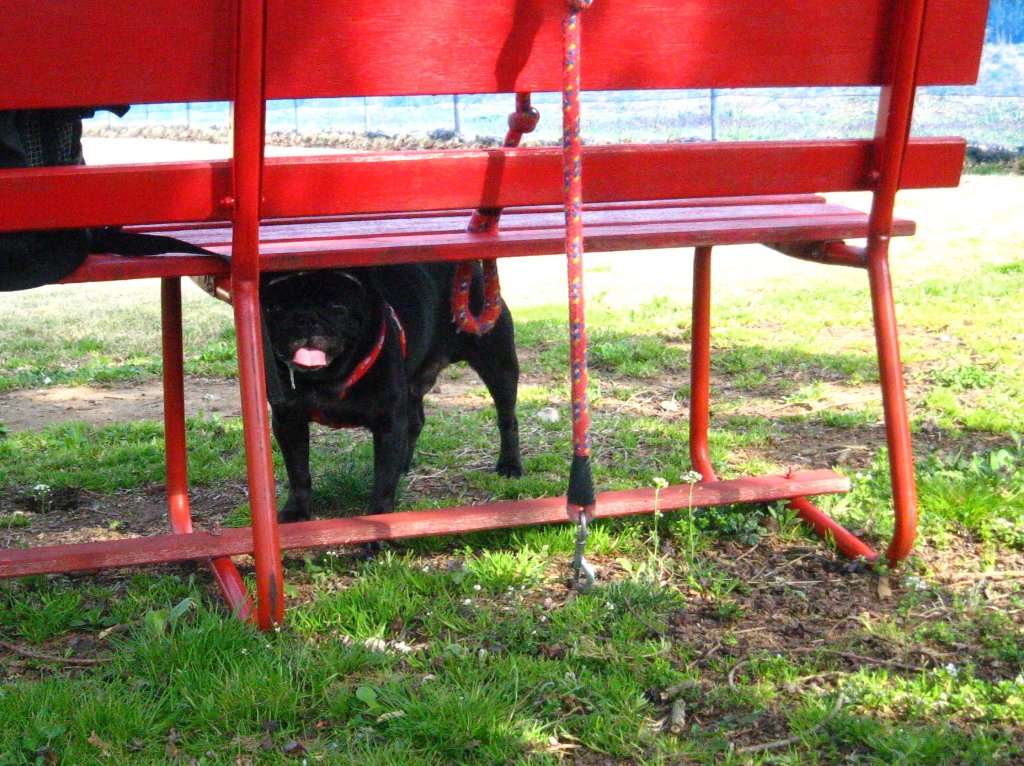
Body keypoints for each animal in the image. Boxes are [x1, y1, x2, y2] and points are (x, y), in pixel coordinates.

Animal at [260, 263, 522, 521]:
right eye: (274, 309)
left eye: (337, 307)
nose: (305, 319)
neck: (326, 380)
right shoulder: (289, 422)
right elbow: (299, 472)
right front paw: (296, 511)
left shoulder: (388, 424)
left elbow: (383, 479)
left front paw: (379, 516)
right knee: (415, 422)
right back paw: (404, 465)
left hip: (499, 368)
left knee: (507, 419)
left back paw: (510, 466)